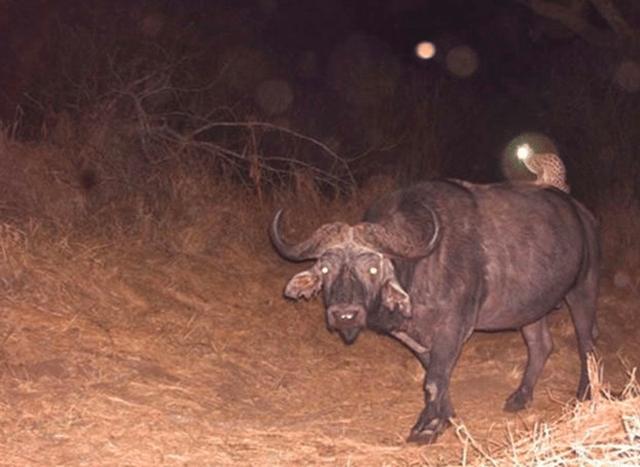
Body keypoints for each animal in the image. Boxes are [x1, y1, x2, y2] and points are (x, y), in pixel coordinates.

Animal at [270, 180, 600, 446]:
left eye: (373, 268)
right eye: (326, 269)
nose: (345, 315)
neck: (420, 268)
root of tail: (583, 214)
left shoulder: (453, 328)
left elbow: (433, 380)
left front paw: (426, 428)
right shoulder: (415, 337)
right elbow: (436, 376)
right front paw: (445, 417)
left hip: (583, 288)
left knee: (587, 343)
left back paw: (585, 394)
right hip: (531, 307)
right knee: (540, 345)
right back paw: (520, 397)